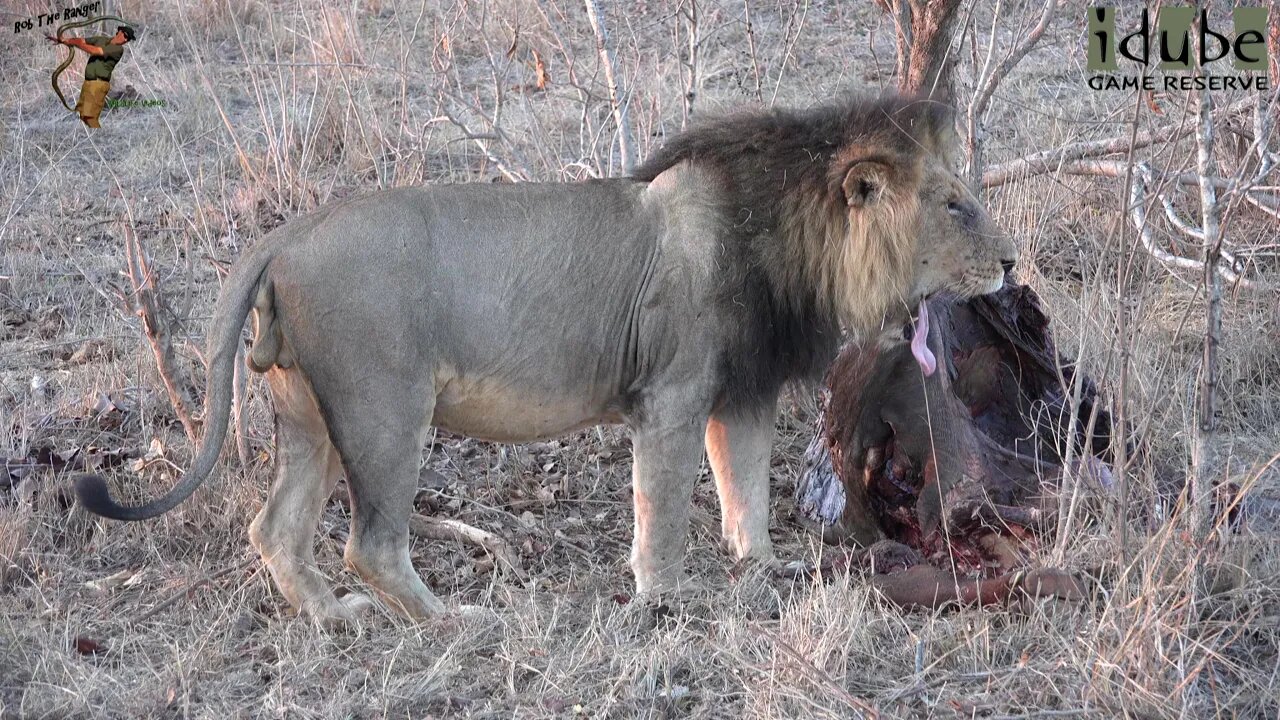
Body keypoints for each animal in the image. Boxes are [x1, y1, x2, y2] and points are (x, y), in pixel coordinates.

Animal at [80, 95, 1018, 622]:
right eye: (954, 205)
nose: (1012, 263)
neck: (796, 241)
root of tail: (284, 235)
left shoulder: (739, 392)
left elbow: (744, 494)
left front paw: (761, 571)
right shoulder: (672, 395)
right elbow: (664, 509)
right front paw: (663, 597)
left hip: (305, 412)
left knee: (275, 530)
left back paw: (334, 619)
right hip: (385, 409)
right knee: (370, 543)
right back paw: (450, 621)